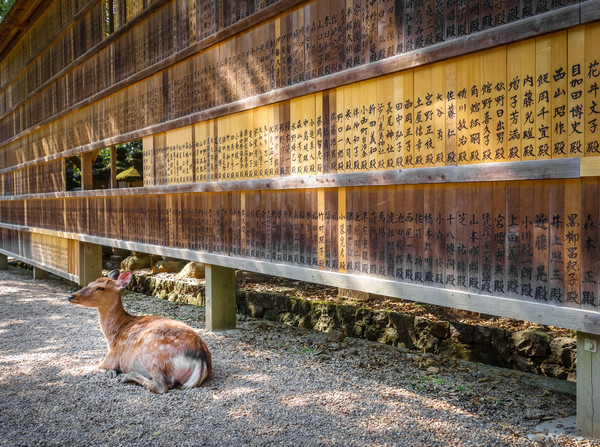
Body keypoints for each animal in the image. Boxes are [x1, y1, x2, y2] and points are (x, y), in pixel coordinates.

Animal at [67, 270, 212, 392]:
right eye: (90, 283)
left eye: (100, 288)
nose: (71, 296)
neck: (113, 335)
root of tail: (201, 358)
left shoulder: (111, 357)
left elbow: (97, 367)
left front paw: (112, 372)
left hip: (151, 354)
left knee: (161, 386)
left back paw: (126, 376)